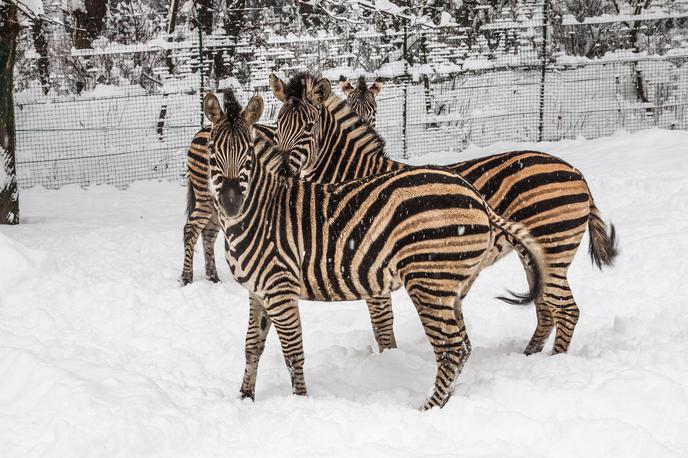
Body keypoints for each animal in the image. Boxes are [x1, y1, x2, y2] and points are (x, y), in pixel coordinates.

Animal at [200, 88, 548, 408]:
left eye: (247, 154)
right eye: (214, 151)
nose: (230, 204)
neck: (261, 211)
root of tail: (475, 195)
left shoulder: (280, 289)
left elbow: (293, 352)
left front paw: (300, 402)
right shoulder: (257, 291)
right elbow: (252, 346)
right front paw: (245, 398)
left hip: (430, 281)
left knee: (453, 349)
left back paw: (427, 409)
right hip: (450, 286)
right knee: (464, 347)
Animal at [268, 73, 620, 356]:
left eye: (308, 127)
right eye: (277, 126)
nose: (282, 171)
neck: (356, 174)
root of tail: (577, 174)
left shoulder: (370, 262)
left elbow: (382, 325)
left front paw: (388, 361)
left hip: (553, 247)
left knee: (567, 311)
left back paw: (552, 362)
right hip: (533, 253)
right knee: (547, 309)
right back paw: (528, 356)